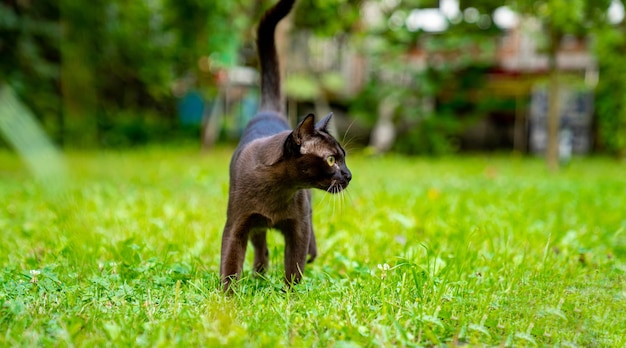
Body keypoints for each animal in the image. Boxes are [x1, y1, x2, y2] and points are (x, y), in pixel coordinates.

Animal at [218, 0, 352, 292]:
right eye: (332, 160)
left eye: (344, 158)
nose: (349, 175)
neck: (278, 189)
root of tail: (268, 112)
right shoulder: (237, 225)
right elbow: (230, 265)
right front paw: (227, 299)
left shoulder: (298, 226)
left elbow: (295, 266)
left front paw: (290, 295)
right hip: (256, 228)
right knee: (262, 249)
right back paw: (258, 275)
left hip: (305, 215)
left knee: (308, 248)